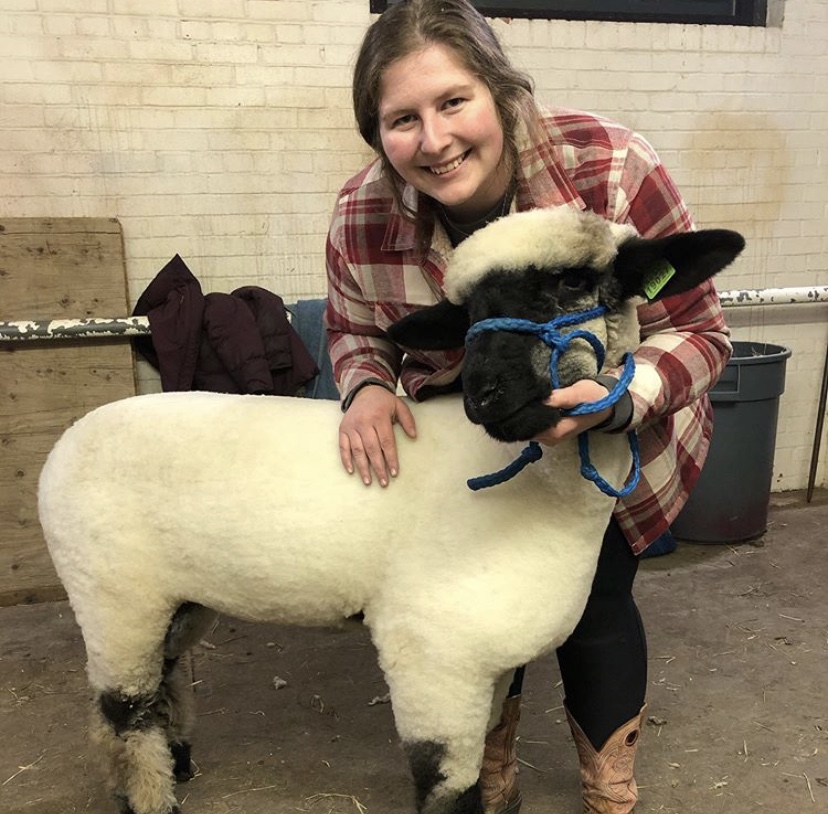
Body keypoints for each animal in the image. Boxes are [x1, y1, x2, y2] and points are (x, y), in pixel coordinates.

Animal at [37, 207, 744, 814]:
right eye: (466, 314)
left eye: (575, 282)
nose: (485, 395)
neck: (535, 495)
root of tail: (65, 443)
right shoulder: (435, 650)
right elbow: (445, 787)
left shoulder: (485, 662)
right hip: (113, 595)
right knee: (125, 713)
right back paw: (150, 796)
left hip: (178, 597)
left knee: (156, 686)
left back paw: (174, 765)